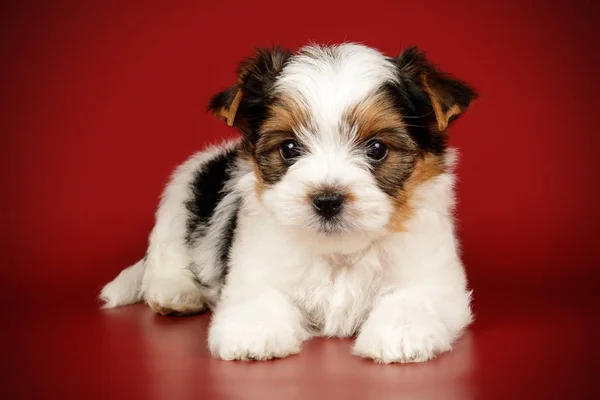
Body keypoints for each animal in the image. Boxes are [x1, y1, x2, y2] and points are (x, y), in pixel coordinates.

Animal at [102, 42, 478, 364]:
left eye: (376, 149)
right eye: (289, 148)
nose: (327, 200)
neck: (338, 252)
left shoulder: (434, 274)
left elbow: (417, 295)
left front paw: (400, 332)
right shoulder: (255, 265)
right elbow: (260, 294)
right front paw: (252, 332)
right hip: (179, 199)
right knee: (166, 256)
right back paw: (175, 293)